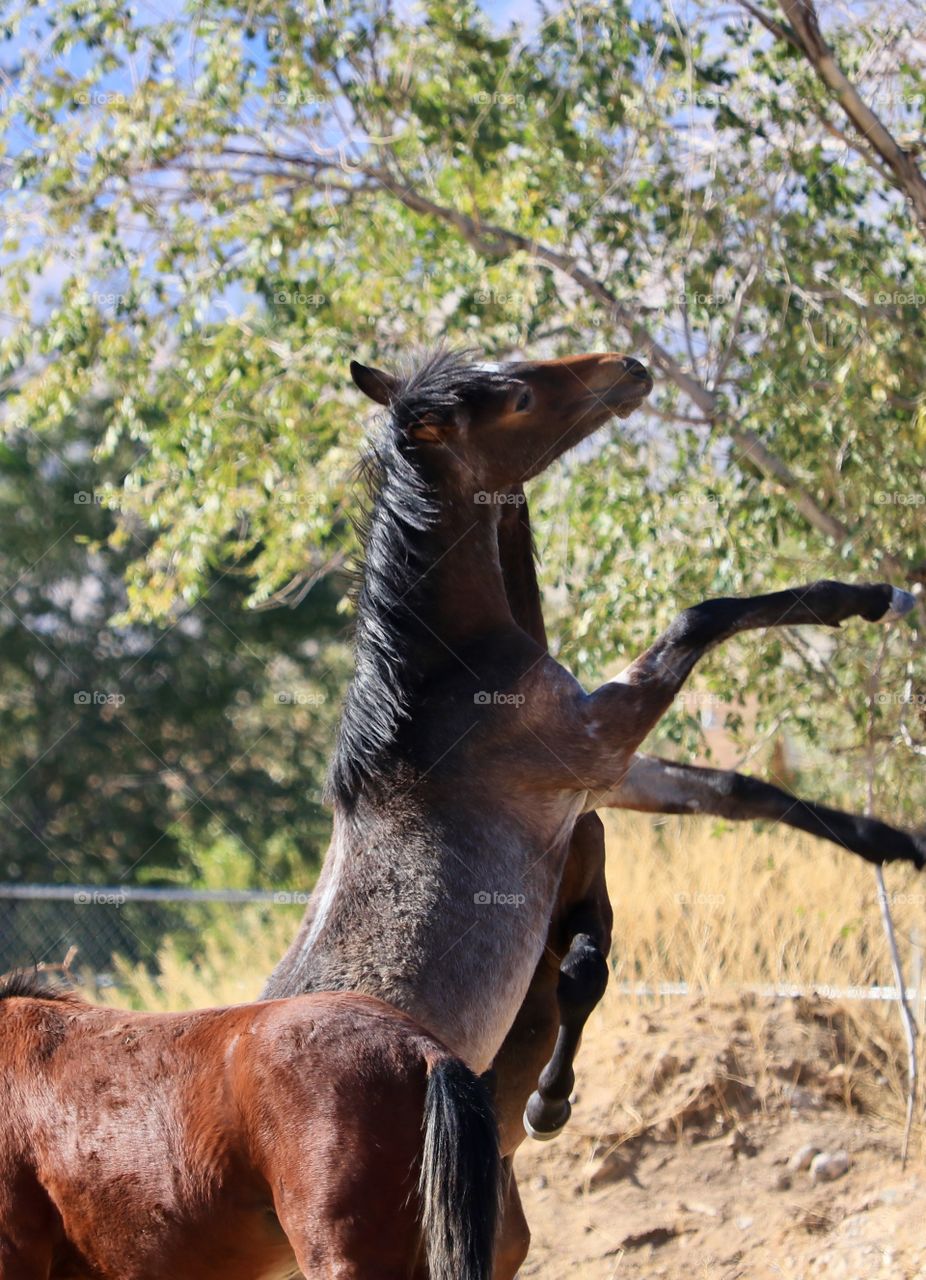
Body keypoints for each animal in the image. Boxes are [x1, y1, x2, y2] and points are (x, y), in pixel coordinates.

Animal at [263, 345, 922, 1274]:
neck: (443, 691)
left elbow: (739, 792)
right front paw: (864, 599)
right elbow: (702, 616)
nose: (628, 366)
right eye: (515, 395)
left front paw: (896, 841)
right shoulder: (599, 738)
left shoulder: (606, 781)